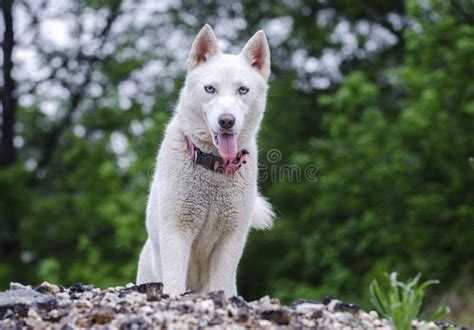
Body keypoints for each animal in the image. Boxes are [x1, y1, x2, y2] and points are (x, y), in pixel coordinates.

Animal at [136, 23, 274, 296]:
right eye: (210, 88)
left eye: (243, 90)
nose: (227, 121)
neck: (213, 166)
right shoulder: (176, 230)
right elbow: (175, 282)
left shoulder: (231, 238)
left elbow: (220, 283)